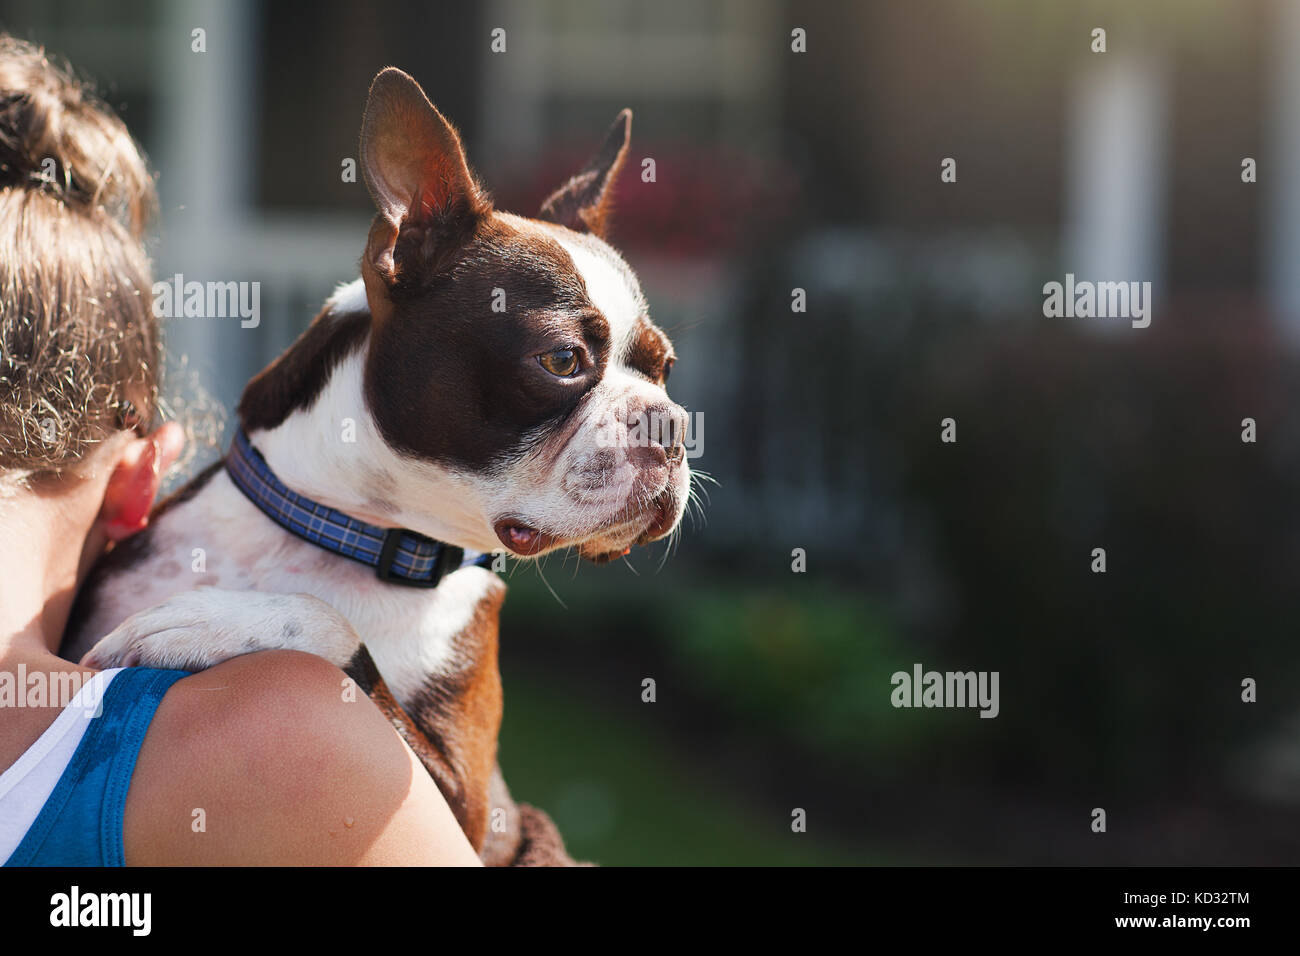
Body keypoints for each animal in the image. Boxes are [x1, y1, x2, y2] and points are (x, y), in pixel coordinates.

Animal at [63, 69, 691, 868]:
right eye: (562, 359)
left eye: (665, 370)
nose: (672, 423)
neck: (352, 534)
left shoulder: (472, 808)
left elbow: (331, 629)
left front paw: (211, 620)